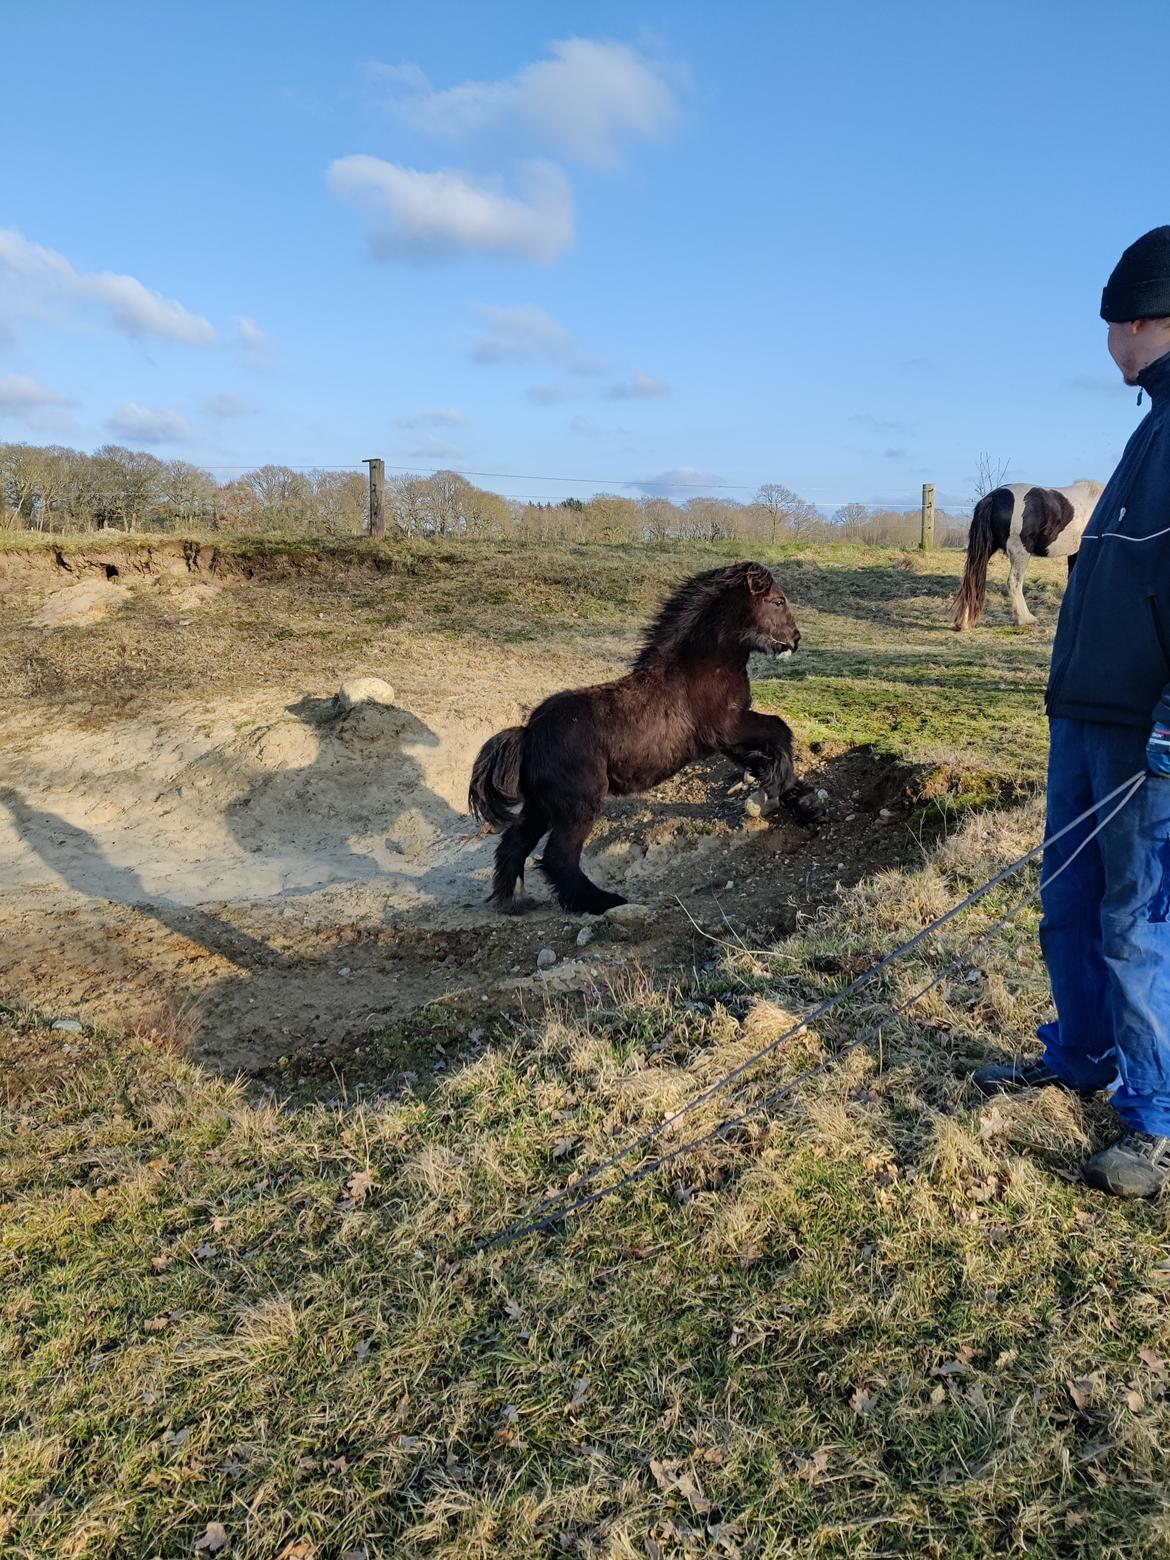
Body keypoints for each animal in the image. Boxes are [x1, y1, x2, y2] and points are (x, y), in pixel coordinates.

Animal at [467, 567, 817, 911]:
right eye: (777, 601)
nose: (795, 640)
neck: (702, 664)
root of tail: (528, 735)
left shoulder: (728, 742)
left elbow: (761, 758)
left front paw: (802, 802)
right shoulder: (729, 726)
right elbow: (780, 730)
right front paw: (788, 790)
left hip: (541, 805)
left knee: (514, 844)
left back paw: (513, 900)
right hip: (577, 805)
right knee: (557, 857)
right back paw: (603, 902)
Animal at [954, 477, 1110, 630]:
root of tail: (992, 498)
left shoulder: (1074, 554)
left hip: (986, 550)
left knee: (972, 579)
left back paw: (964, 623)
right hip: (1021, 554)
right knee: (1014, 582)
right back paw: (1026, 619)